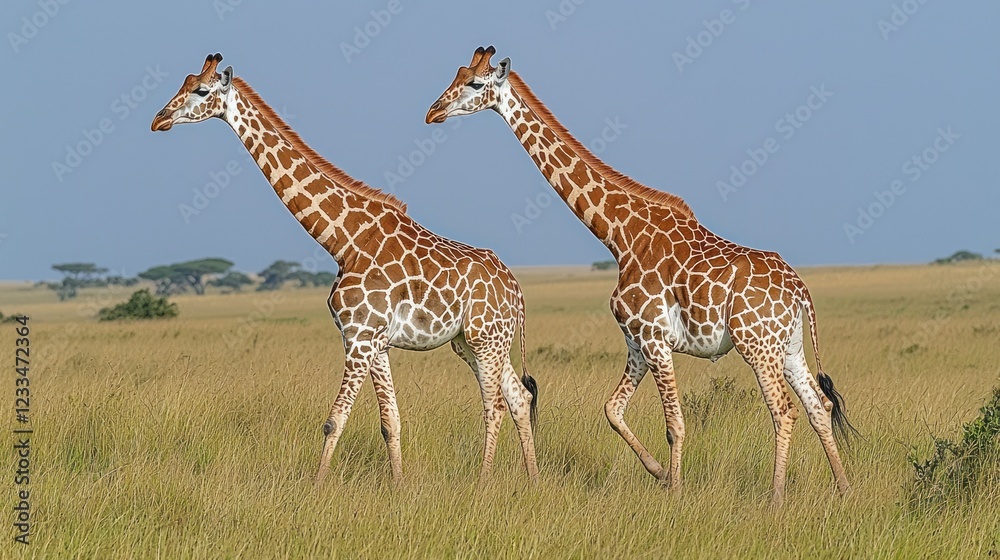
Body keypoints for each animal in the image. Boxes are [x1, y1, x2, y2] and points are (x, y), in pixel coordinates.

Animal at [151, 53, 539, 485]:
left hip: (486, 340)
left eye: (202, 91)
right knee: (519, 396)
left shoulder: (358, 337)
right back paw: (533, 481)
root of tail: (517, 292)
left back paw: (484, 484)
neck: (344, 240)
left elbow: (334, 420)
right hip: (473, 342)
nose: (159, 119)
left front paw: (316, 488)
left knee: (496, 405)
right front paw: (398, 487)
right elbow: (390, 421)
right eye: (183, 83)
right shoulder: (376, 342)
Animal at [426, 46, 855, 504]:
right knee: (819, 405)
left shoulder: (654, 337)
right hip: (788, 346)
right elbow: (612, 409)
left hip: (756, 344)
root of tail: (800, 290)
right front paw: (661, 474)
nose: (433, 112)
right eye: (456, 74)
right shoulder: (636, 341)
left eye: (474, 84)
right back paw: (844, 488)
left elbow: (675, 423)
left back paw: (776, 498)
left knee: (784, 409)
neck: (621, 236)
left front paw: (676, 491)